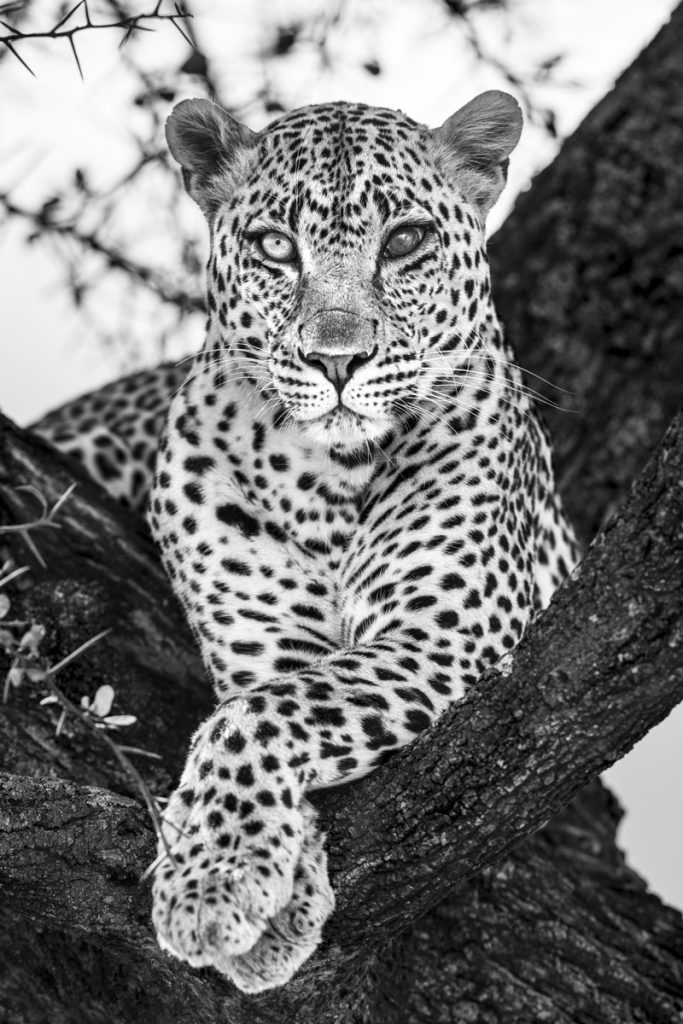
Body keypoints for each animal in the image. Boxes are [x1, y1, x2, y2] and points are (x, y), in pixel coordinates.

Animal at [33, 91, 580, 993]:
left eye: (405, 241)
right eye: (273, 248)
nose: (337, 360)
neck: (327, 478)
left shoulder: (443, 634)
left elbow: (254, 720)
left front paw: (214, 889)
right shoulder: (265, 645)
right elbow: (260, 707)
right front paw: (253, 892)